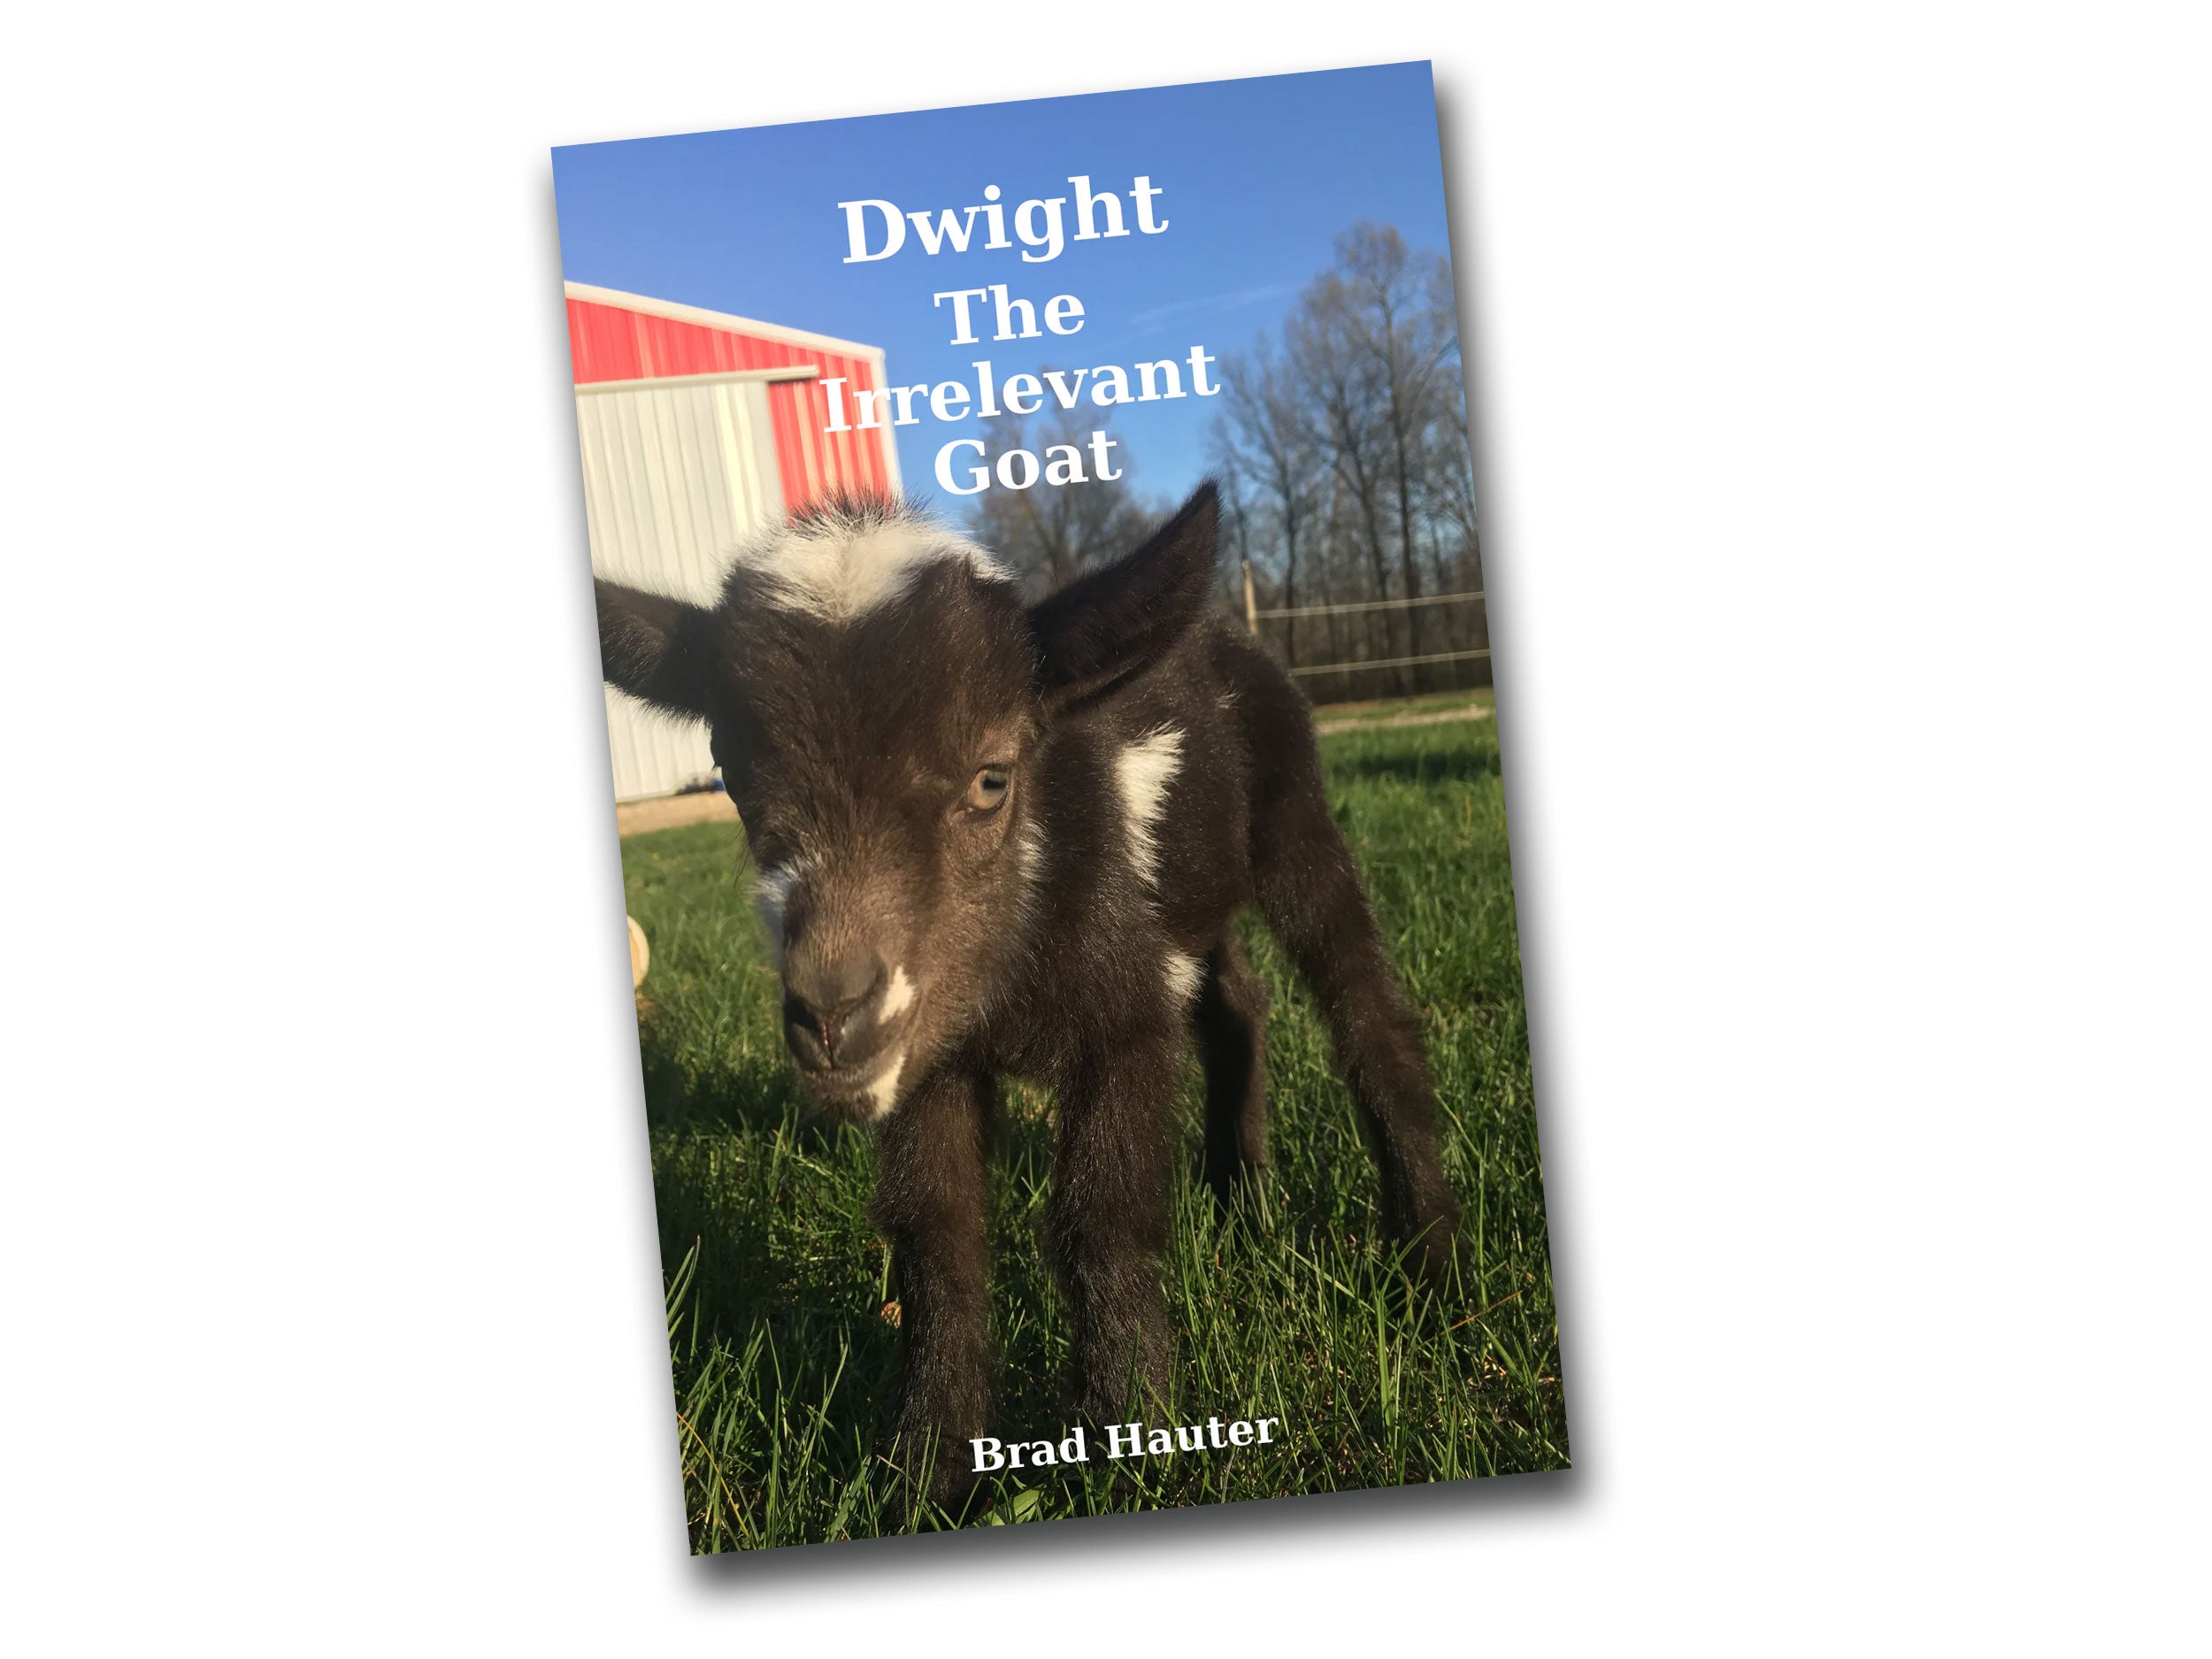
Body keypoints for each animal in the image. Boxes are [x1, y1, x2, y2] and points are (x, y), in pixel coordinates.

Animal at [595, 482, 1461, 1498]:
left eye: (991, 778)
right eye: (729, 776)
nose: (832, 1018)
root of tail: (1218, 627)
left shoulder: (1120, 1019)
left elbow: (1101, 1222)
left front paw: (1128, 1441)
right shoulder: (925, 1055)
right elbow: (936, 1236)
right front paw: (930, 1469)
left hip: (1293, 812)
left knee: (1360, 1001)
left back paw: (1431, 1263)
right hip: (1180, 899)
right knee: (1236, 1000)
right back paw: (1238, 1195)